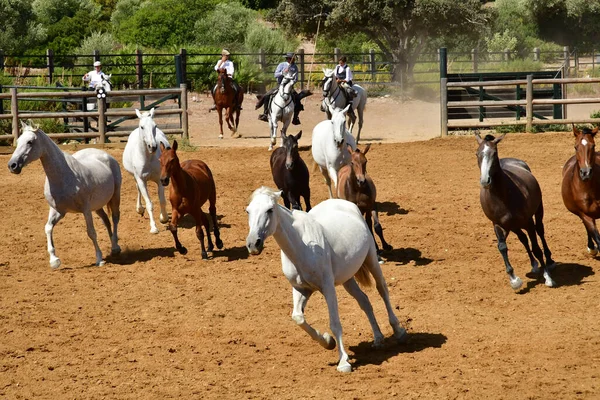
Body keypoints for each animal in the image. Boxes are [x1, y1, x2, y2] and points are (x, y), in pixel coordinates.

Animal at [8, 119, 122, 268]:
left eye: (30, 142)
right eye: (18, 140)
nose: (12, 165)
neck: (63, 176)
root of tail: (105, 155)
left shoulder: (85, 210)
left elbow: (91, 232)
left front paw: (99, 259)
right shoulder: (58, 210)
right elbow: (48, 228)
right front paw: (54, 260)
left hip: (115, 197)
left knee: (114, 219)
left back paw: (115, 247)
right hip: (97, 206)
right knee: (106, 221)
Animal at [245, 187, 408, 372]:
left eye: (270, 210)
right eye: (248, 211)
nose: (253, 244)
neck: (301, 246)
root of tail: (346, 203)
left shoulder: (328, 287)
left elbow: (335, 323)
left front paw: (343, 362)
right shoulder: (301, 289)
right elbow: (298, 317)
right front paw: (328, 341)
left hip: (371, 259)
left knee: (382, 290)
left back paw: (398, 331)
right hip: (347, 278)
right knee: (364, 301)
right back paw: (378, 338)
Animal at [476, 133, 556, 290]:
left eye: (494, 153)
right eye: (477, 154)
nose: (485, 181)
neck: (502, 196)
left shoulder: (528, 222)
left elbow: (536, 248)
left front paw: (548, 277)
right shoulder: (498, 225)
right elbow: (502, 247)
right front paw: (514, 280)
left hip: (537, 211)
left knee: (540, 231)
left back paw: (549, 260)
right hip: (513, 226)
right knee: (523, 239)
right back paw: (533, 264)